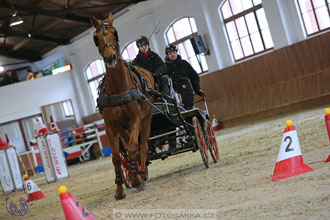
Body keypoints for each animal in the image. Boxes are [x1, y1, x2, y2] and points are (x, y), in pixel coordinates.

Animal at [89, 13, 153, 199]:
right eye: (96, 38)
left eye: (115, 33)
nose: (110, 57)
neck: (119, 87)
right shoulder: (110, 126)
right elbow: (117, 157)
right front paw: (119, 189)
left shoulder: (136, 120)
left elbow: (133, 148)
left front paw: (136, 178)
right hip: (122, 127)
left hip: (147, 118)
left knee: (142, 147)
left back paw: (141, 175)